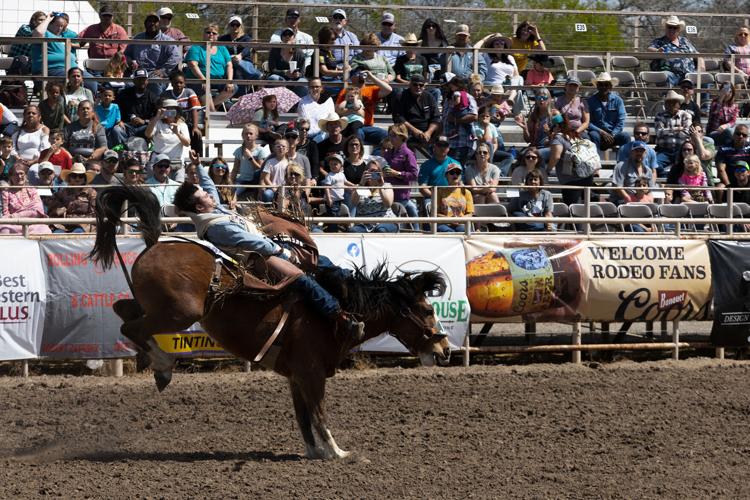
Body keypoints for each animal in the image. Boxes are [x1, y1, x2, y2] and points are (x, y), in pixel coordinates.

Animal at [88, 186, 452, 458]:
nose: (446, 349)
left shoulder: (296, 375)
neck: (339, 307)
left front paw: (315, 452)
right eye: (428, 311)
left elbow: (304, 417)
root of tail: (154, 245)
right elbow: (318, 413)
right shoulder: (311, 372)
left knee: (124, 310)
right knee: (131, 327)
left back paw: (152, 361)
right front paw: (339, 452)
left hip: (156, 306)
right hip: (181, 312)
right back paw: (163, 365)